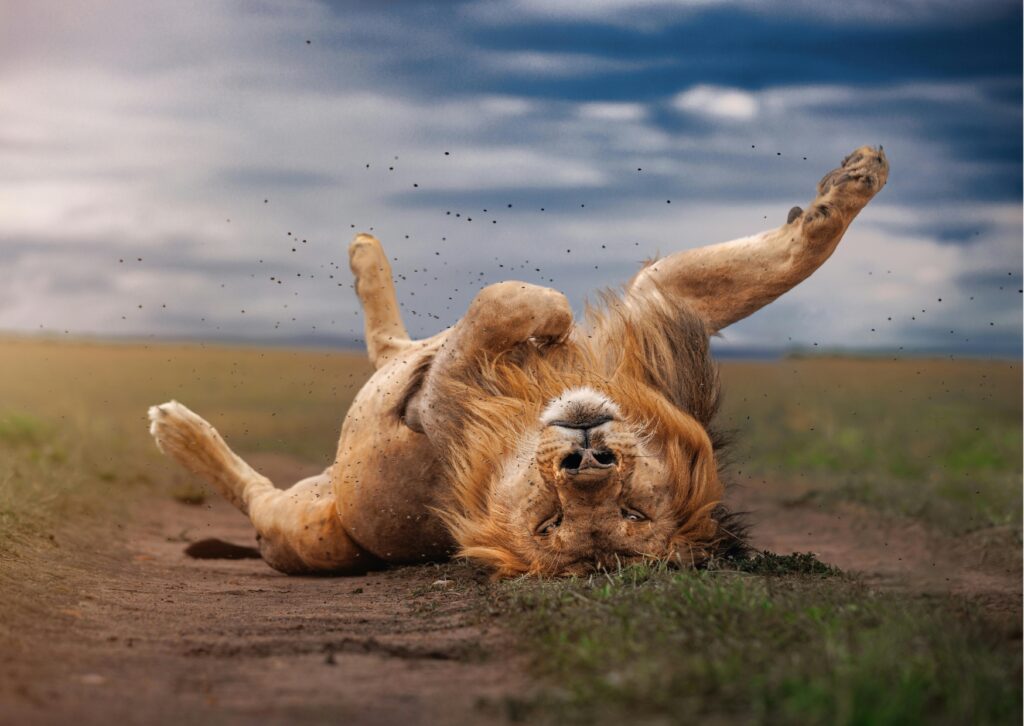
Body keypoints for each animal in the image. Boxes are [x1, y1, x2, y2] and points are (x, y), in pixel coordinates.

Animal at [148, 146, 888, 577]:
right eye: (555, 518)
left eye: (628, 516)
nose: (588, 461)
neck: (528, 409)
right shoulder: (663, 308)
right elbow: (791, 254)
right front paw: (854, 181)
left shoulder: (442, 405)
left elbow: (499, 303)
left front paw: (541, 319)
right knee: (391, 344)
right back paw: (365, 250)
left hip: (303, 528)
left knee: (259, 493)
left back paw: (178, 428)